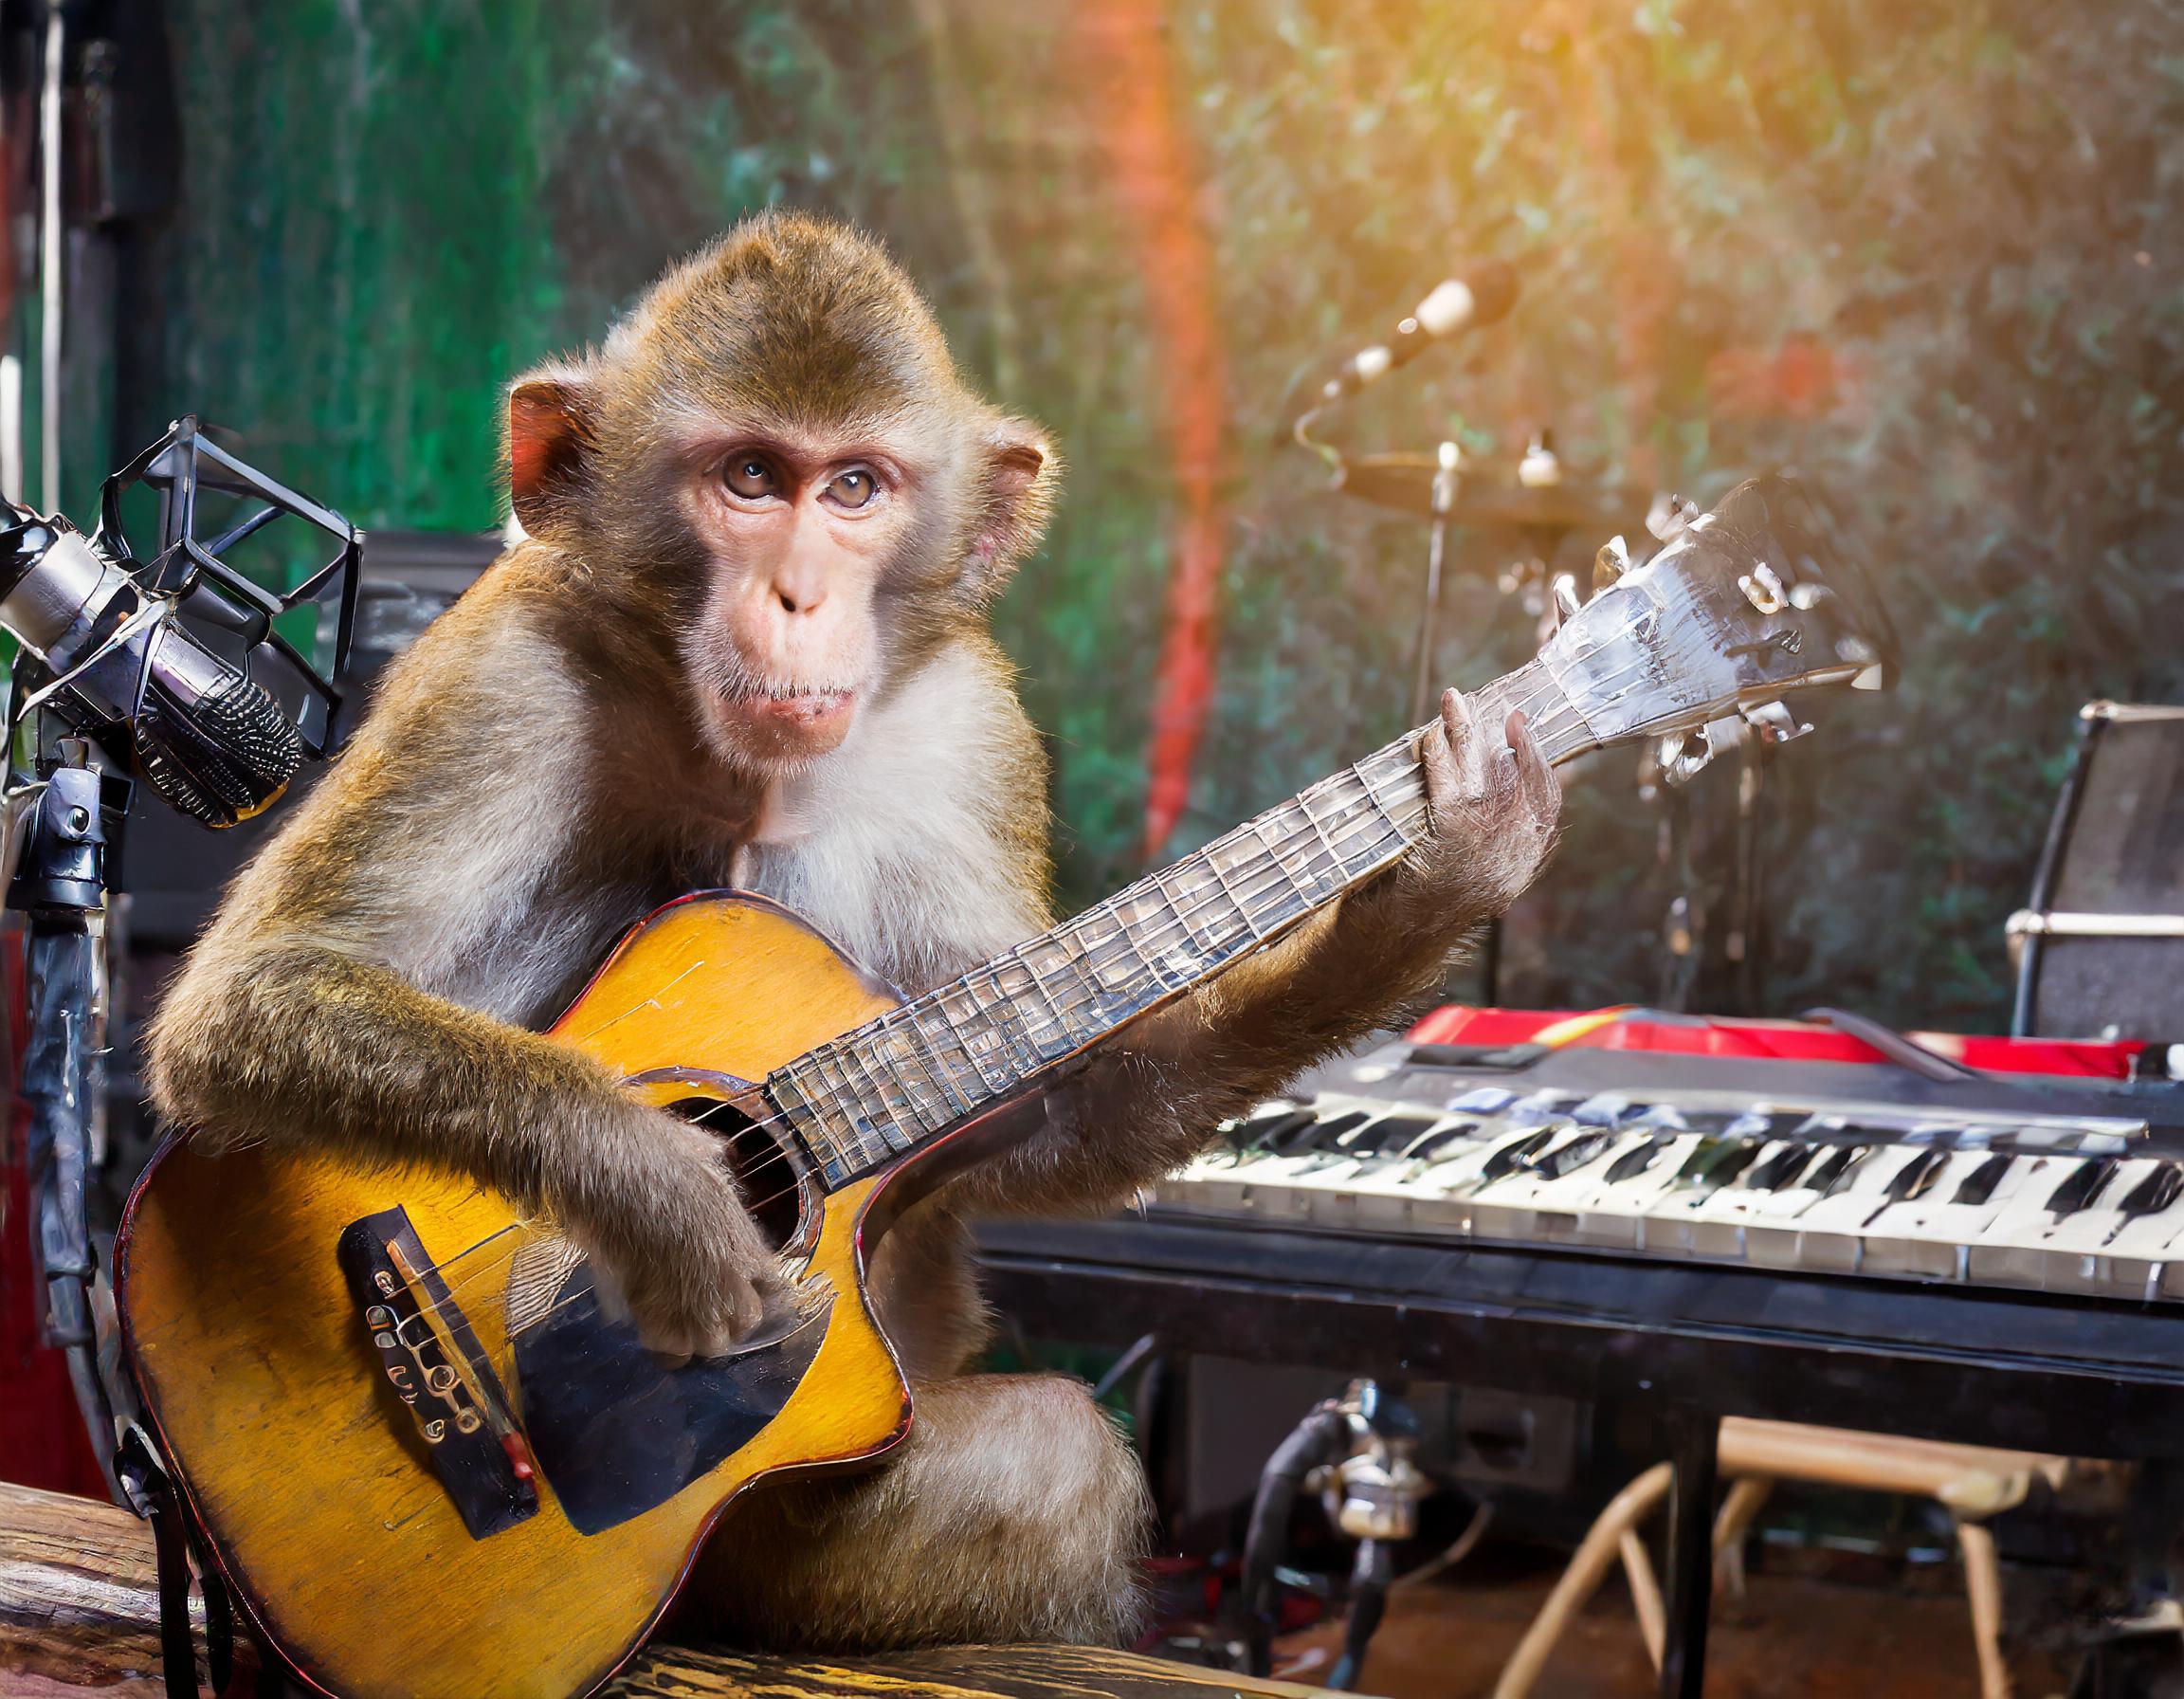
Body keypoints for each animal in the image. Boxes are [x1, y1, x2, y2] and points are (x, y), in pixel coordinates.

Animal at [144, 210, 1560, 1654]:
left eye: (856, 492)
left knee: (1048, 1470)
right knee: (1062, 1463)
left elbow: (1067, 1112)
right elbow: (255, 995)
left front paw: (1443, 870)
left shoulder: (972, 733)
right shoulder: (502, 666)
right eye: (751, 478)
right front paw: (658, 1185)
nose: (798, 597)